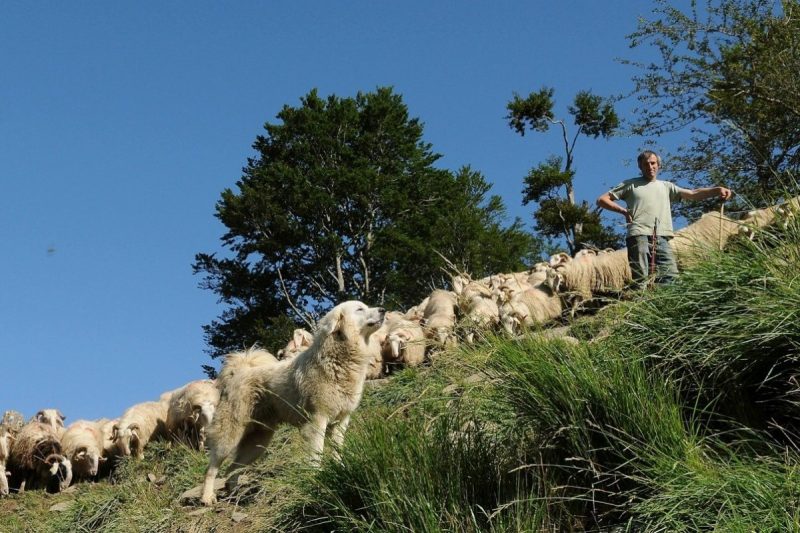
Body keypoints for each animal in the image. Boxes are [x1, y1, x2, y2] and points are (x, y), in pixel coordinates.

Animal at [202, 300, 386, 502]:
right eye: (360, 309)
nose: (383, 310)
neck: (339, 358)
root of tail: (239, 372)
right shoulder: (317, 421)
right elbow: (316, 455)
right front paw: (318, 479)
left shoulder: (341, 422)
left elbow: (338, 452)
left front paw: (341, 471)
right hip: (229, 436)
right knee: (212, 468)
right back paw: (207, 498)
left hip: (258, 442)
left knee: (233, 469)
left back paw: (235, 495)